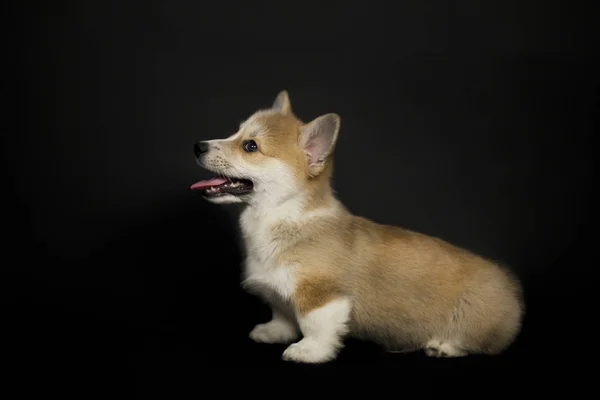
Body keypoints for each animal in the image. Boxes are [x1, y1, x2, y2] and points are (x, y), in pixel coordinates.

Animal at [190, 92, 524, 364]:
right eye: (235, 133)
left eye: (250, 146)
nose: (197, 146)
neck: (280, 214)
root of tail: (513, 296)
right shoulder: (279, 290)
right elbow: (282, 313)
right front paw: (273, 332)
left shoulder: (320, 296)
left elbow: (314, 325)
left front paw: (307, 351)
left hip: (473, 317)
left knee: (481, 343)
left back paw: (443, 346)